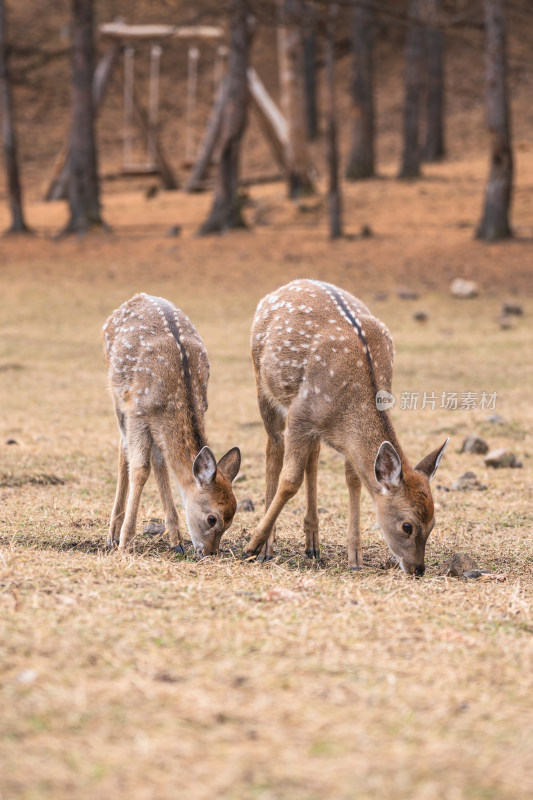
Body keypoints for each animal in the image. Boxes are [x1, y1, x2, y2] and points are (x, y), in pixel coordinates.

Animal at [101, 294, 241, 556]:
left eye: (231, 520)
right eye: (212, 518)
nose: (209, 552)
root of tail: (136, 297)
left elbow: (158, 463)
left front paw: (177, 540)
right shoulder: (137, 413)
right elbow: (140, 469)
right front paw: (125, 543)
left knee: (156, 459)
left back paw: (174, 538)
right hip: (117, 395)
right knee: (123, 450)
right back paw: (112, 535)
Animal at [243, 282, 446, 576]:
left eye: (432, 523)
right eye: (407, 526)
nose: (418, 569)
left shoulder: (338, 437)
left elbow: (354, 480)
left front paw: (355, 558)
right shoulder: (300, 414)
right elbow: (289, 480)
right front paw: (252, 546)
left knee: (312, 457)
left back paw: (312, 543)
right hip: (263, 385)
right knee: (273, 449)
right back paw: (266, 546)